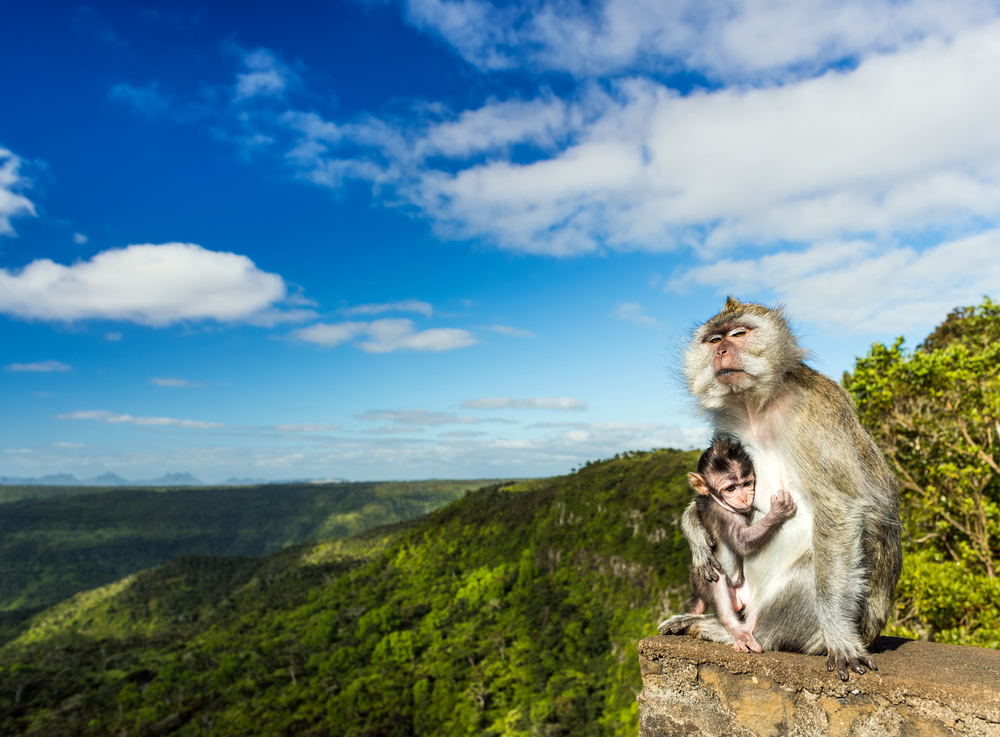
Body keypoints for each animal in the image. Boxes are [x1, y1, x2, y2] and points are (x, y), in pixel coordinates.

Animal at [684, 434, 792, 652]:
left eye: (747, 483)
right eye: (731, 488)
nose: (744, 497)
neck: (717, 501)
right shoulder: (724, 514)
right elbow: (741, 542)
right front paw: (778, 512)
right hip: (705, 581)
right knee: (717, 577)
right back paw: (734, 627)